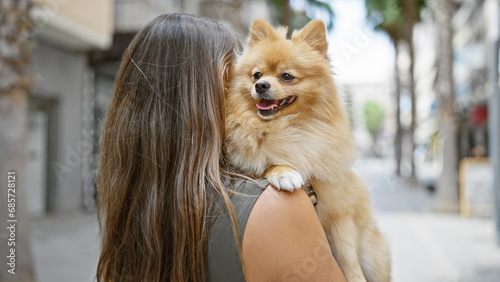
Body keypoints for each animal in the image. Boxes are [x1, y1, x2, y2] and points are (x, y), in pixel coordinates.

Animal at [225, 18, 392, 280]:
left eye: (286, 76)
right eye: (256, 75)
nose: (261, 85)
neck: (291, 126)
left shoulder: (338, 212)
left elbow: (348, 256)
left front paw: (354, 275)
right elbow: (266, 158)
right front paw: (284, 171)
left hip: (373, 256)